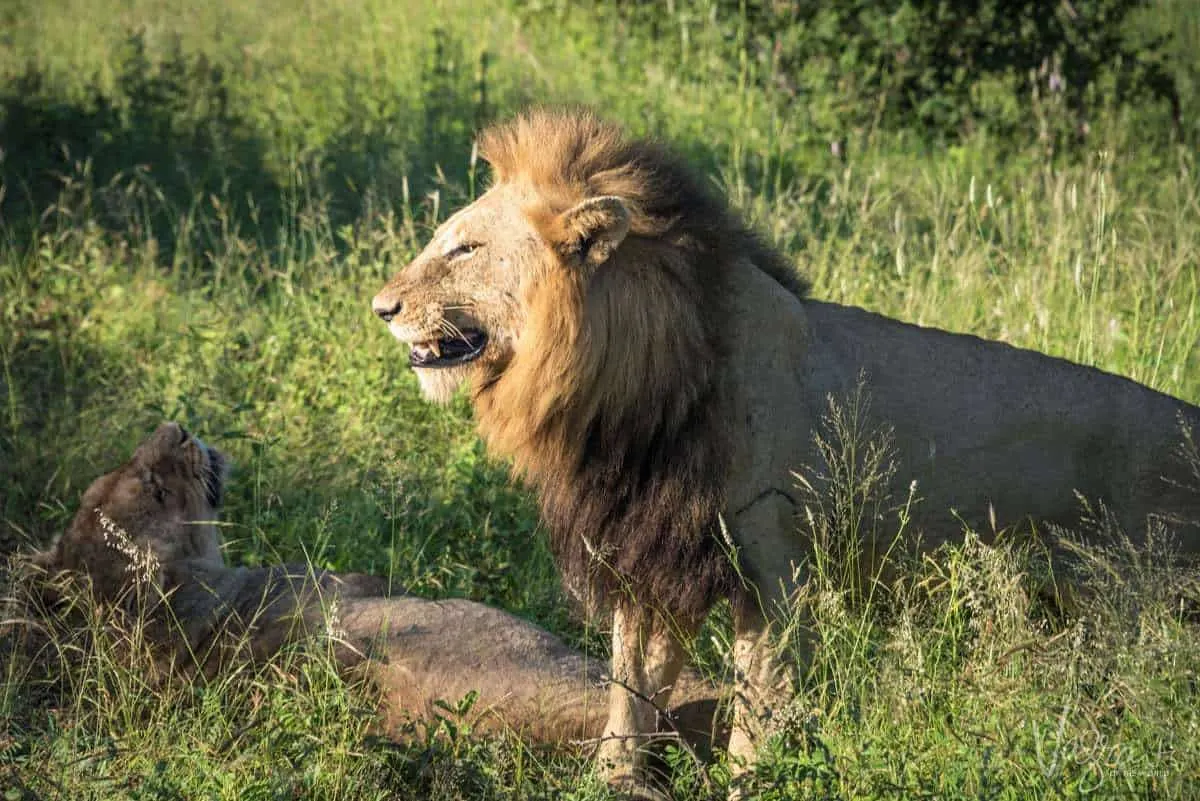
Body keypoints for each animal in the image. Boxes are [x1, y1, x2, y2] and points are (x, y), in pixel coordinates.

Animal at [369, 110, 1200, 796]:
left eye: (465, 247)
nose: (380, 307)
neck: (628, 381)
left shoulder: (773, 567)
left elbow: (756, 711)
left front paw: (751, 783)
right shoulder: (653, 555)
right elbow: (630, 688)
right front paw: (612, 778)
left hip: (1141, 611)